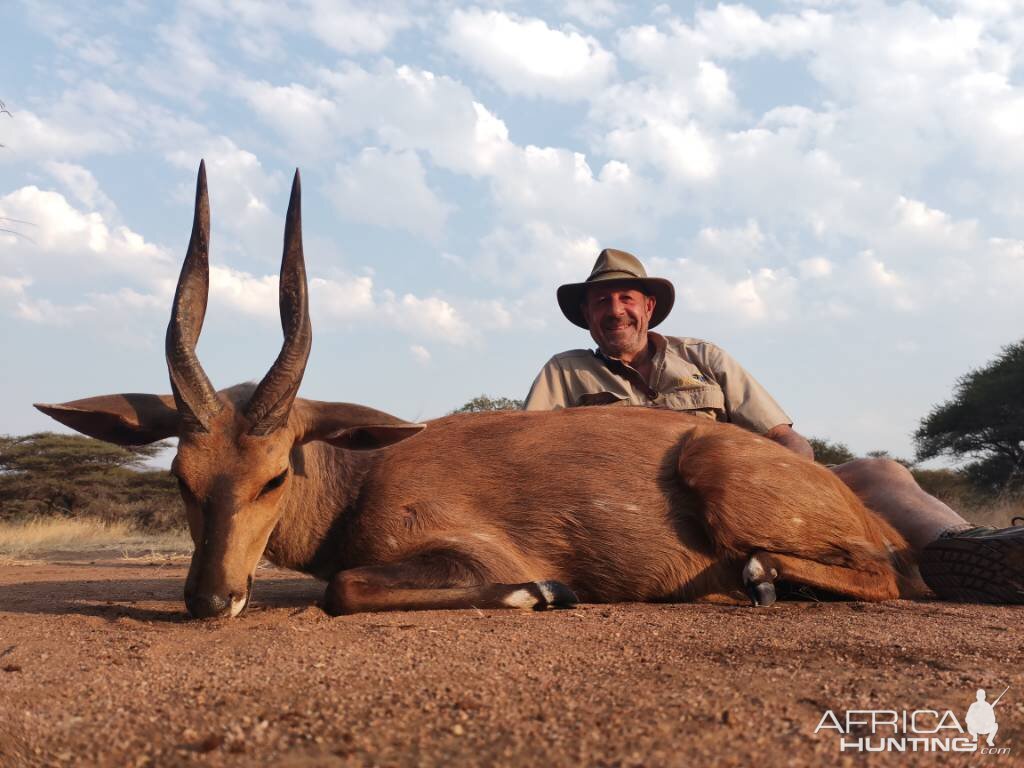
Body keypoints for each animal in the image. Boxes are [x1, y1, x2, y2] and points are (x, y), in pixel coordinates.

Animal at [36, 163, 925, 618]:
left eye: (275, 474)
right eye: (182, 478)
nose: (210, 599)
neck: (365, 472)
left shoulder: (466, 550)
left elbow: (344, 589)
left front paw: (542, 591)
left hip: (724, 473)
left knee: (885, 575)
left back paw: (762, 577)